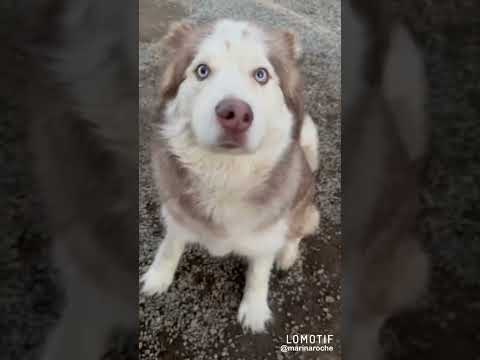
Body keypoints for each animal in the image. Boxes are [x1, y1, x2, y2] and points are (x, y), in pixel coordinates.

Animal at [141, 19, 318, 334]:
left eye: (261, 75)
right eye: (202, 70)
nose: (235, 114)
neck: (225, 176)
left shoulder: (268, 232)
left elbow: (259, 273)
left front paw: (254, 309)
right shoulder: (175, 210)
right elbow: (170, 246)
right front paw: (158, 277)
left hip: (304, 205)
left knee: (298, 232)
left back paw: (286, 255)